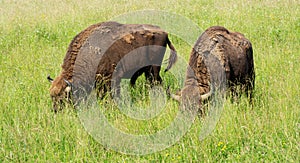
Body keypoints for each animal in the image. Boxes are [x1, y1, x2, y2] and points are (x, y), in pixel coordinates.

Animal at [48, 21, 177, 112]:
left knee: (156, 82)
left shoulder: (112, 78)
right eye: (52, 96)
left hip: (154, 69)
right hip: (149, 71)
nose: (56, 111)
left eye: (64, 97)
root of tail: (164, 32)